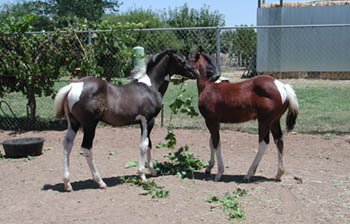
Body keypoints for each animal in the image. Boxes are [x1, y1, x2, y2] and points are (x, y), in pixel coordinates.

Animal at [53, 48, 198, 191]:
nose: (196, 72)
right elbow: (144, 145)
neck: (150, 86)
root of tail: (73, 86)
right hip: (90, 125)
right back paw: (100, 182)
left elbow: (149, 143)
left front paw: (152, 171)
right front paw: (142, 175)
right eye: (180, 60)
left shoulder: (145, 123)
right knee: (87, 149)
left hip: (74, 123)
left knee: (67, 145)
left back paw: (67, 183)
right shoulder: (148, 120)